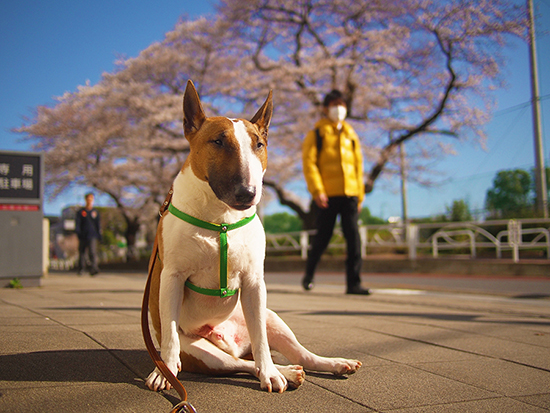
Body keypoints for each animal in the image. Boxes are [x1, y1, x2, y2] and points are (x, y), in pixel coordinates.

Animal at [146, 80, 362, 392]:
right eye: (218, 142)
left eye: (259, 144)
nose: (248, 193)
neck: (220, 218)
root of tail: (231, 342)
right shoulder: (172, 277)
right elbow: (171, 337)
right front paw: (164, 372)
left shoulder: (254, 282)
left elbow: (261, 339)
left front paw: (270, 374)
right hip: (205, 353)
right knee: (239, 364)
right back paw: (287, 372)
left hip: (271, 317)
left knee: (292, 353)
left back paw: (320, 365)